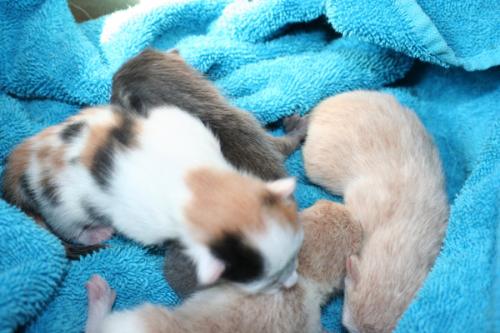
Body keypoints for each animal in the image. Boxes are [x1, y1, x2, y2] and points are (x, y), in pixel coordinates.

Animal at [2, 105, 300, 292]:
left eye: (295, 257)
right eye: (270, 282)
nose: (292, 282)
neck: (200, 185)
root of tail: (27, 153)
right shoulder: (142, 223)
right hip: (62, 204)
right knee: (69, 227)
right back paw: (95, 233)